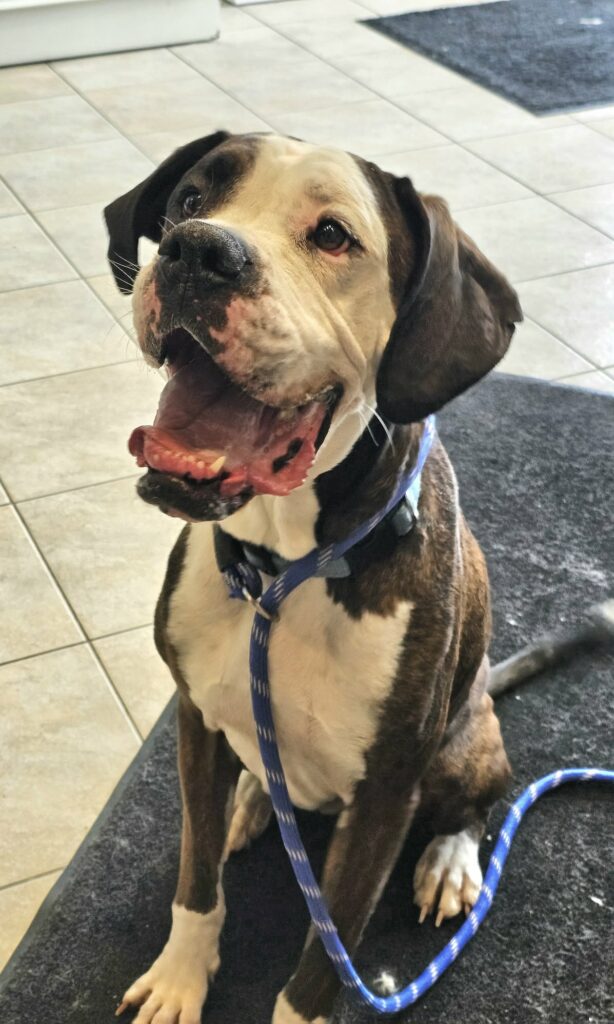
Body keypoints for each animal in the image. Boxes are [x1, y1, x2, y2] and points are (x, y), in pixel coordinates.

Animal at [104, 129, 523, 1024]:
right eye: (190, 200)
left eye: (333, 236)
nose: (199, 252)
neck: (281, 571)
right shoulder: (195, 719)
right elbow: (196, 883)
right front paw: (180, 979)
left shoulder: (384, 798)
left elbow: (319, 970)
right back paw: (250, 805)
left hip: (461, 747)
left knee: (481, 802)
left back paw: (449, 862)